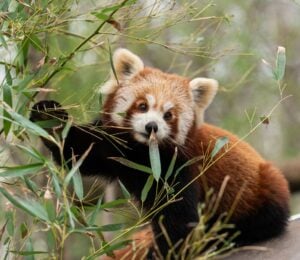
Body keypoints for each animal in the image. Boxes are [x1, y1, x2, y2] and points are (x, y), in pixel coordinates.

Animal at [29, 48, 290, 258]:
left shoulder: (180, 167)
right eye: (143, 105)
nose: (151, 126)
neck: (141, 154)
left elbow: (178, 220)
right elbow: (79, 151)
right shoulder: (113, 146)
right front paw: (49, 116)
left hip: (265, 186)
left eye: (168, 115)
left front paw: (164, 253)